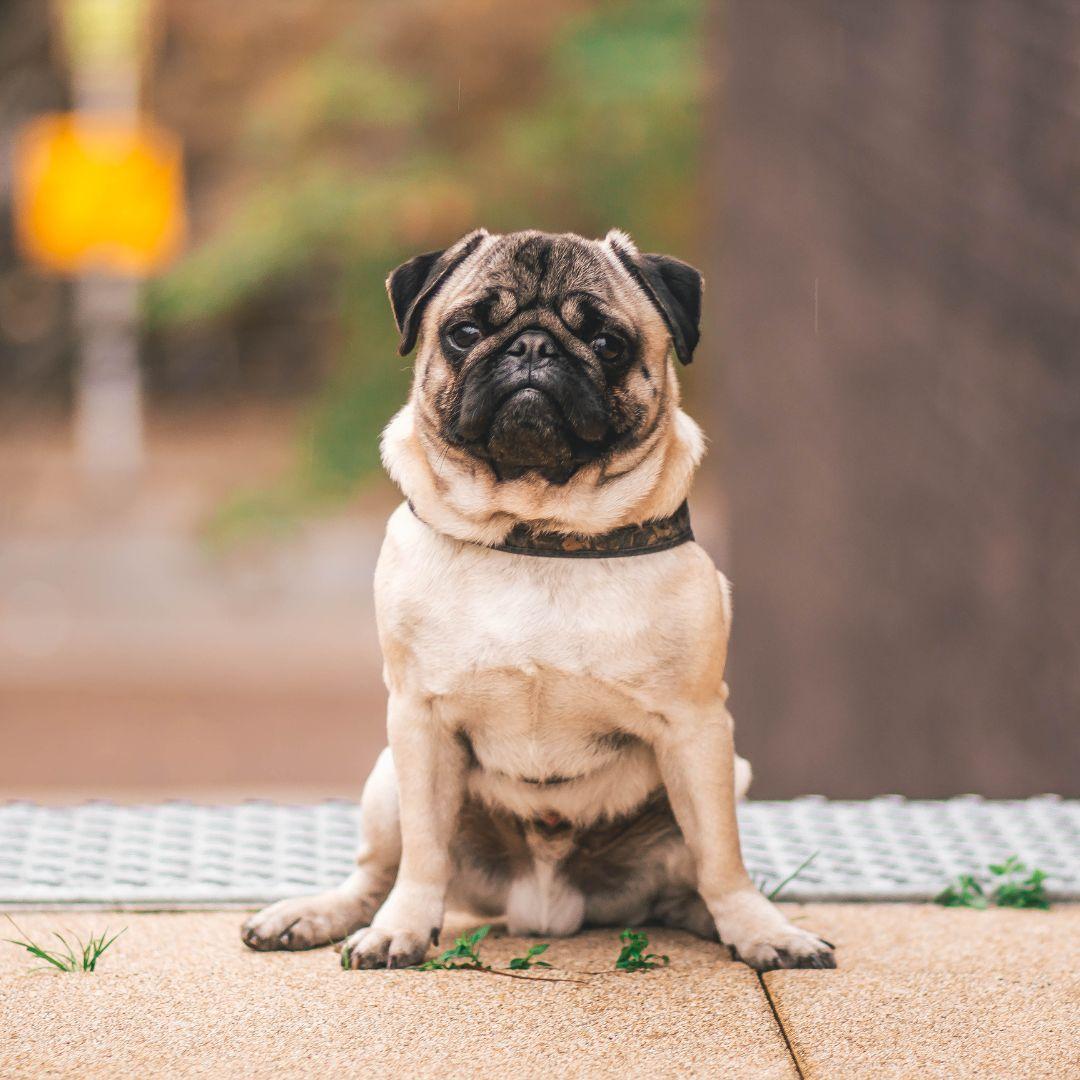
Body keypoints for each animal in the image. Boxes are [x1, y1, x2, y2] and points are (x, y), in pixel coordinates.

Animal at [245, 227, 833, 972]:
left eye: (607, 344)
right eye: (465, 333)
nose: (531, 347)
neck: (538, 532)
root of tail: (545, 906)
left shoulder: (697, 726)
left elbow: (723, 857)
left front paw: (760, 929)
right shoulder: (417, 720)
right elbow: (424, 855)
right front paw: (402, 927)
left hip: (729, 774)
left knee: (692, 879)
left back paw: (728, 920)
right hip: (384, 780)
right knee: (377, 871)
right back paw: (317, 915)